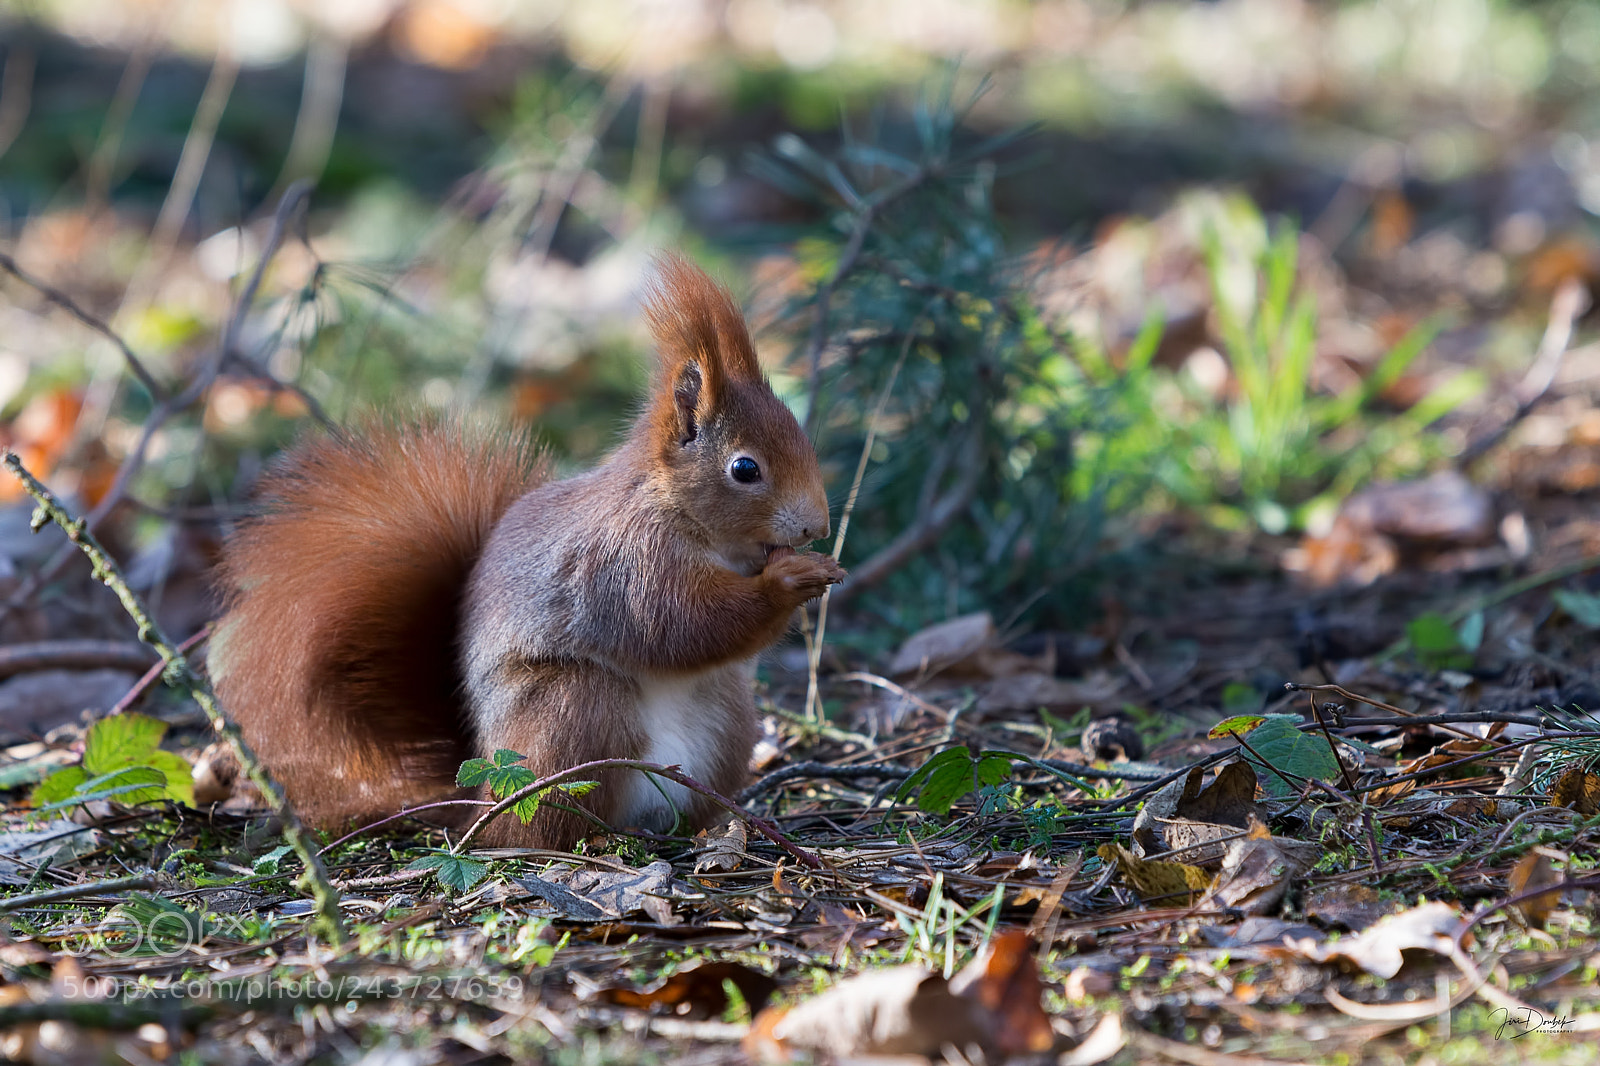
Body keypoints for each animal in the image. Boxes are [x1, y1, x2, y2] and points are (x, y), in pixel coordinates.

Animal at [208, 255, 844, 848]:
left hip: (726, 716)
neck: (684, 516)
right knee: (547, 827)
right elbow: (678, 623)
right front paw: (789, 580)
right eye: (745, 469)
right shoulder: (624, 562)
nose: (816, 526)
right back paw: (599, 838)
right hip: (572, 713)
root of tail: (480, 799)